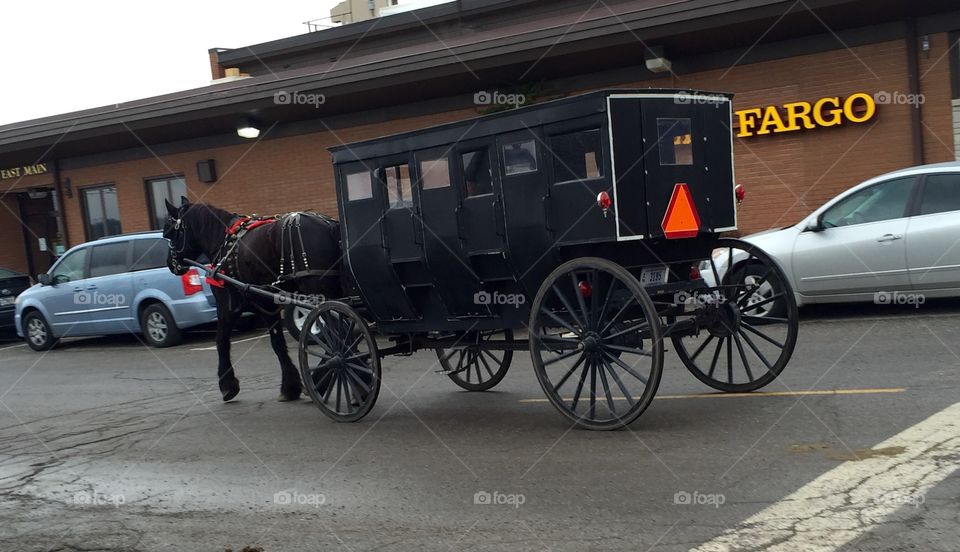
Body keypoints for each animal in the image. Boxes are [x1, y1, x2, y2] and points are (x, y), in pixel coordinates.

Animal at [164, 197, 342, 402]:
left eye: (170, 234)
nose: (170, 264)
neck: (224, 242)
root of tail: (329, 225)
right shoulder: (267, 305)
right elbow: (278, 342)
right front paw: (290, 386)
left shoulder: (228, 305)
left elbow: (222, 340)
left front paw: (228, 385)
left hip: (318, 294)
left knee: (338, 335)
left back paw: (324, 377)